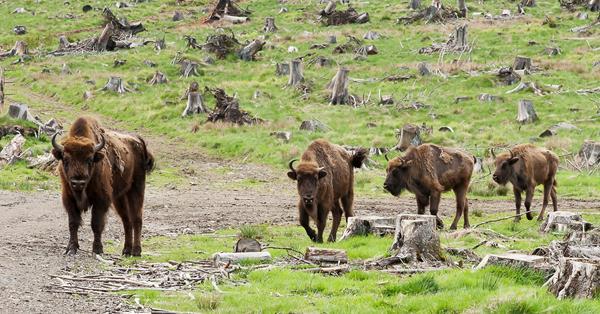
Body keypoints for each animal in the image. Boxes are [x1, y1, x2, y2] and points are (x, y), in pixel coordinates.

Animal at [51, 116, 154, 256]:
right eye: (66, 159)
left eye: (89, 159)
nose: (78, 183)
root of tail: (138, 141)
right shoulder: (69, 199)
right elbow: (73, 223)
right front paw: (71, 248)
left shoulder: (101, 200)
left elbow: (96, 224)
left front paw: (97, 249)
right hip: (119, 198)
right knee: (126, 220)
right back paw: (126, 250)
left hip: (137, 188)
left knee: (137, 218)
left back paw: (136, 251)